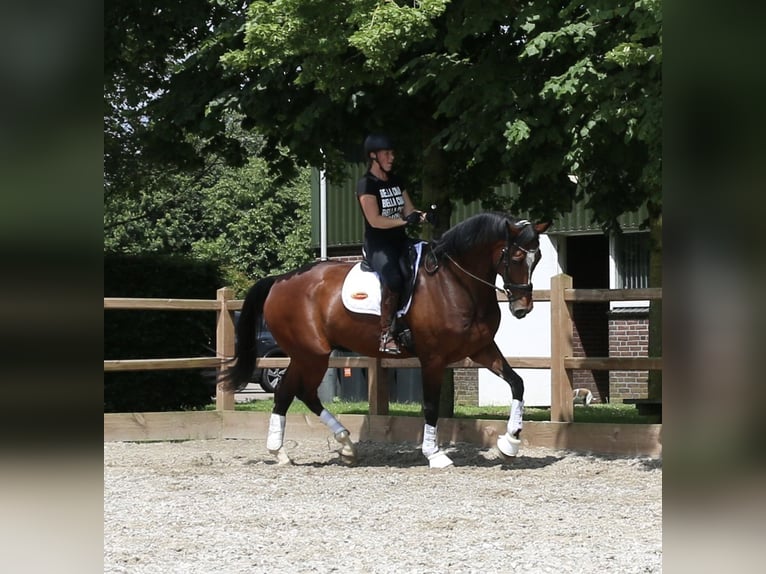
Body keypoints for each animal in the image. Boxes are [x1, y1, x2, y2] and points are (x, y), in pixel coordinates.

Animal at [224, 214, 552, 470]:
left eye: (538, 258)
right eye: (517, 257)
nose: (522, 308)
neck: (457, 282)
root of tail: (280, 280)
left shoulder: (481, 349)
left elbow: (517, 383)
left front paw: (509, 444)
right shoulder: (433, 359)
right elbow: (430, 405)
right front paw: (435, 455)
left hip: (306, 355)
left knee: (293, 393)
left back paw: (327, 448)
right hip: (311, 354)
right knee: (294, 392)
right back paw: (293, 449)